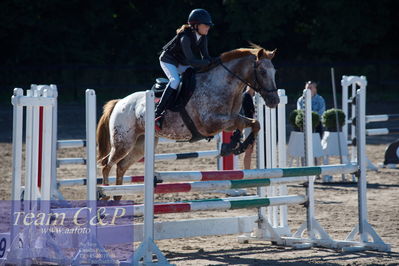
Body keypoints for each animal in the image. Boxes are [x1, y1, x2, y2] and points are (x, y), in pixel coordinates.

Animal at [96, 44, 282, 200]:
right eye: (262, 72)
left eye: (274, 71)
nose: (274, 101)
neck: (223, 84)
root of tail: (120, 102)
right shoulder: (210, 123)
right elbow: (241, 123)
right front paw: (233, 145)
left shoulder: (227, 122)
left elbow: (254, 123)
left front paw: (238, 145)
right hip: (123, 142)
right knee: (106, 164)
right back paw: (104, 195)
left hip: (140, 145)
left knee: (121, 165)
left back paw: (117, 196)